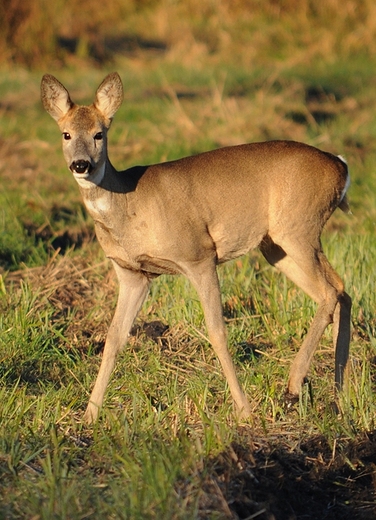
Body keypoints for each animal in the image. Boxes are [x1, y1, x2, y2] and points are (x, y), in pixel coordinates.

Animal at [39, 72, 352, 422]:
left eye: (99, 134)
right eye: (66, 134)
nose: (81, 165)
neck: (129, 204)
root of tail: (341, 167)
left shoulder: (199, 254)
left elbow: (217, 331)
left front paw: (244, 411)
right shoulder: (133, 274)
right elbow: (114, 337)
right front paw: (90, 416)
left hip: (297, 228)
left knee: (329, 292)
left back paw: (293, 387)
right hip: (278, 245)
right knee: (341, 290)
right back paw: (340, 396)